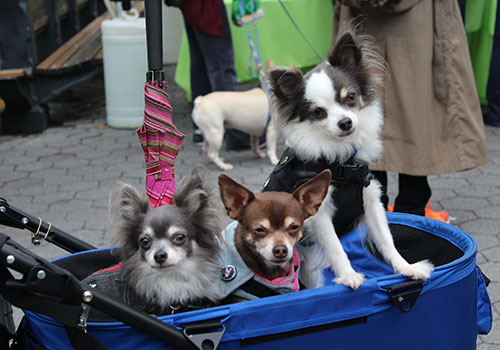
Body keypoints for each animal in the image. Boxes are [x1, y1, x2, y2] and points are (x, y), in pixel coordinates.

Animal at [264, 28, 432, 288]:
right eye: (318, 112)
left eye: (350, 97)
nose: (345, 122)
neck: (342, 163)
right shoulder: (318, 216)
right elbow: (336, 247)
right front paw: (349, 275)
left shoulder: (371, 202)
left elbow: (387, 241)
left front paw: (406, 268)